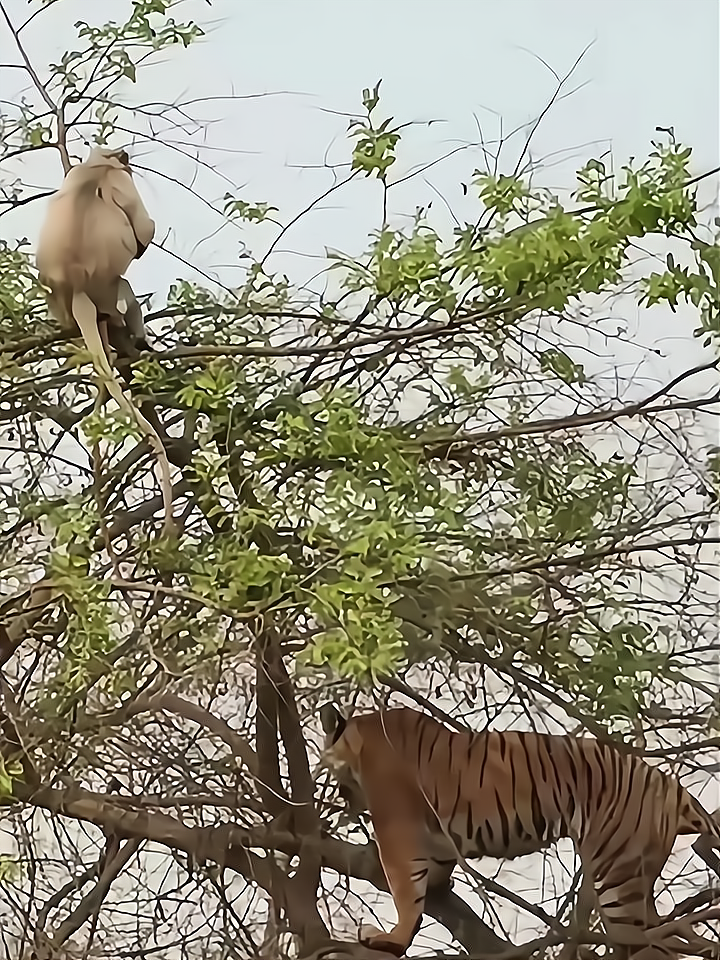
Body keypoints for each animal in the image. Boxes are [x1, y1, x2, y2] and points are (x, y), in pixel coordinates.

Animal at [36, 151, 176, 540]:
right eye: (124, 161)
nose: (125, 158)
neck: (99, 165)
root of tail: (76, 288)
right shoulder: (123, 184)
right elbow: (144, 231)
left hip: (60, 304)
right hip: (108, 291)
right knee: (125, 290)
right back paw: (137, 339)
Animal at [320, 700, 720, 956]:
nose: (342, 797)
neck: (359, 739)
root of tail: (671, 786)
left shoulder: (396, 827)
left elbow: (405, 889)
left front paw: (392, 938)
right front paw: (439, 885)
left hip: (618, 876)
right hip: (636, 880)